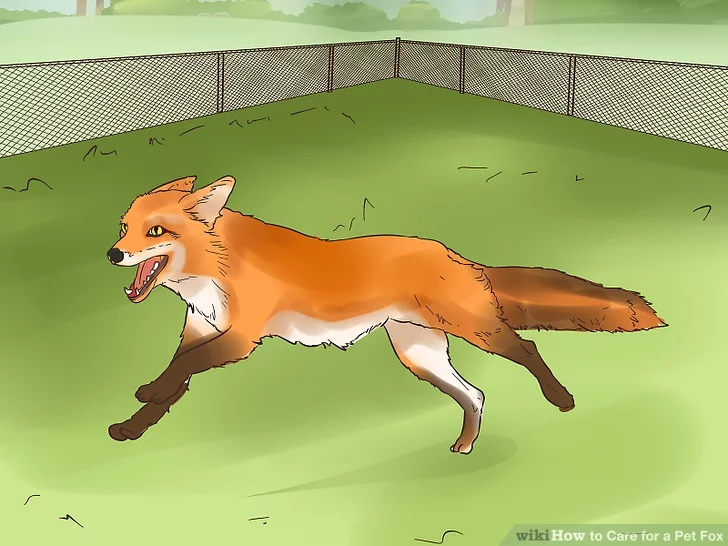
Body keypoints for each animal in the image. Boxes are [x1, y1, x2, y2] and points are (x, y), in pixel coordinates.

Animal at [106, 175, 667, 454]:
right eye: (124, 227)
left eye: (155, 232)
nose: (113, 255)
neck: (213, 268)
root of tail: (456, 254)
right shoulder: (202, 329)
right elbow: (174, 380)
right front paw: (134, 424)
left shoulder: (241, 338)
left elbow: (180, 372)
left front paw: (143, 402)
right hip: (420, 355)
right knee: (476, 395)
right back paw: (465, 444)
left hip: (479, 331)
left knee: (527, 349)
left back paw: (561, 399)